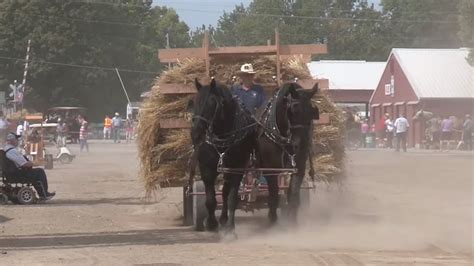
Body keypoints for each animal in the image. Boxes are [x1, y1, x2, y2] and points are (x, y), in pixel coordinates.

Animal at [189, 78, 256, 232]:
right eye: (194, 101)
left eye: (212, 103)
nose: (196, 134)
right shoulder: (206, 168)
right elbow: (210, 199)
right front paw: (211, 223)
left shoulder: (237, 167)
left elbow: (232, 198)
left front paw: (230, 228)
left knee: (226, 191)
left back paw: (224, 219)